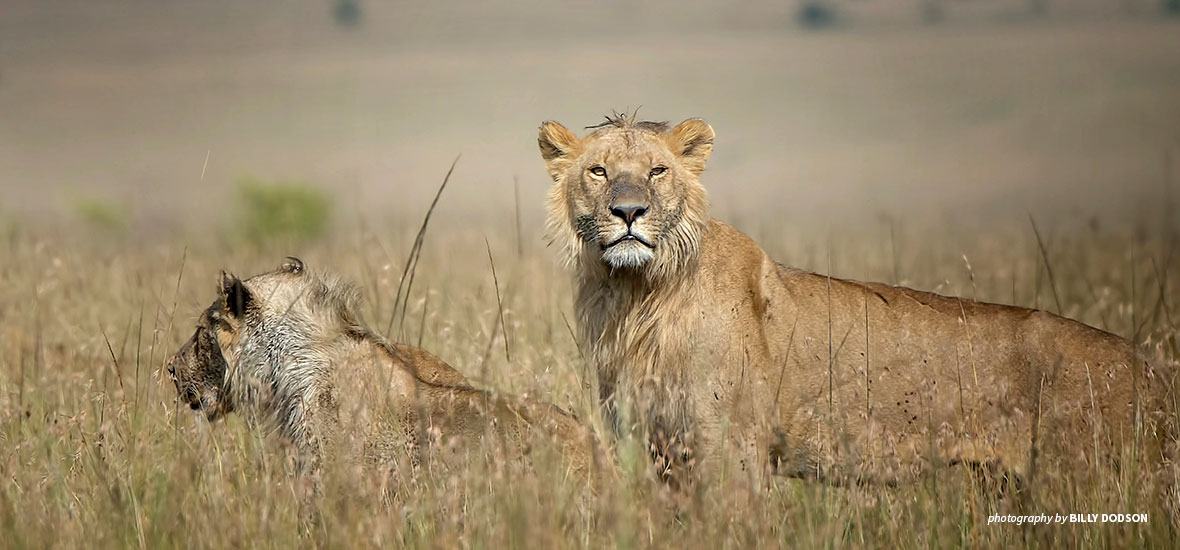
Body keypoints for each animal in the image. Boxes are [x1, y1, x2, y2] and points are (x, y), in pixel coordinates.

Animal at [538, 112, 1175, 486]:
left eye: (657, 171)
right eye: (598, 172)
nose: (628, 212)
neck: (635, 297)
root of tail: (1152, 370)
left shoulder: (732, 448)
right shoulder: (650, 447)